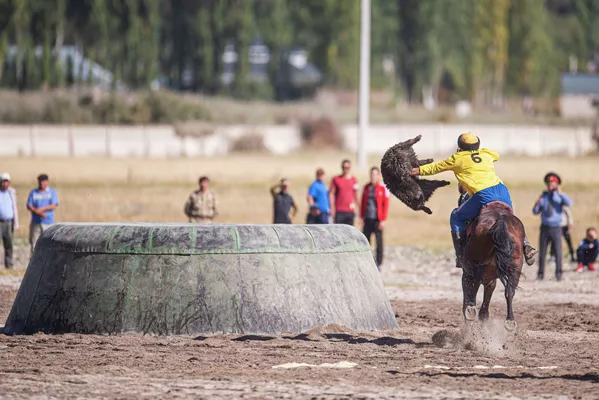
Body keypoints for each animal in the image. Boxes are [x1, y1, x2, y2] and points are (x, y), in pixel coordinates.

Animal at [461, 201, 525, 331]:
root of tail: (500, 220)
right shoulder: (491, 279)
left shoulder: (467, 274)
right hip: (516, 265)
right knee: (510, 290)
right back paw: (510, 321)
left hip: (473, 263)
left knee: (475, 284)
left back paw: (471, 310)